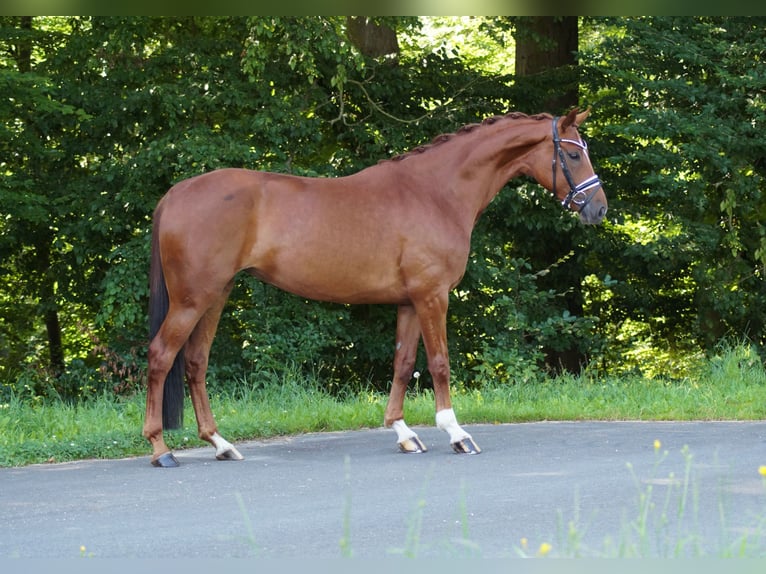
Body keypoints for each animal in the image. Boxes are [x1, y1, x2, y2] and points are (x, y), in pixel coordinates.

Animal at [146, 108, 608, 468]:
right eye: (571, 153)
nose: (599, 209)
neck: (435, 193)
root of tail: (174, 195)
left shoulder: (409, 301)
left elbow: (403, 364)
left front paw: (403, 432)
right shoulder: (433, 296)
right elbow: (439, 363)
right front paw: (456, 433)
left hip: (216, 295)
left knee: (195, 363)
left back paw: (220, 444)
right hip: (192, 299)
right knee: (161, 357)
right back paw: (160, 449)